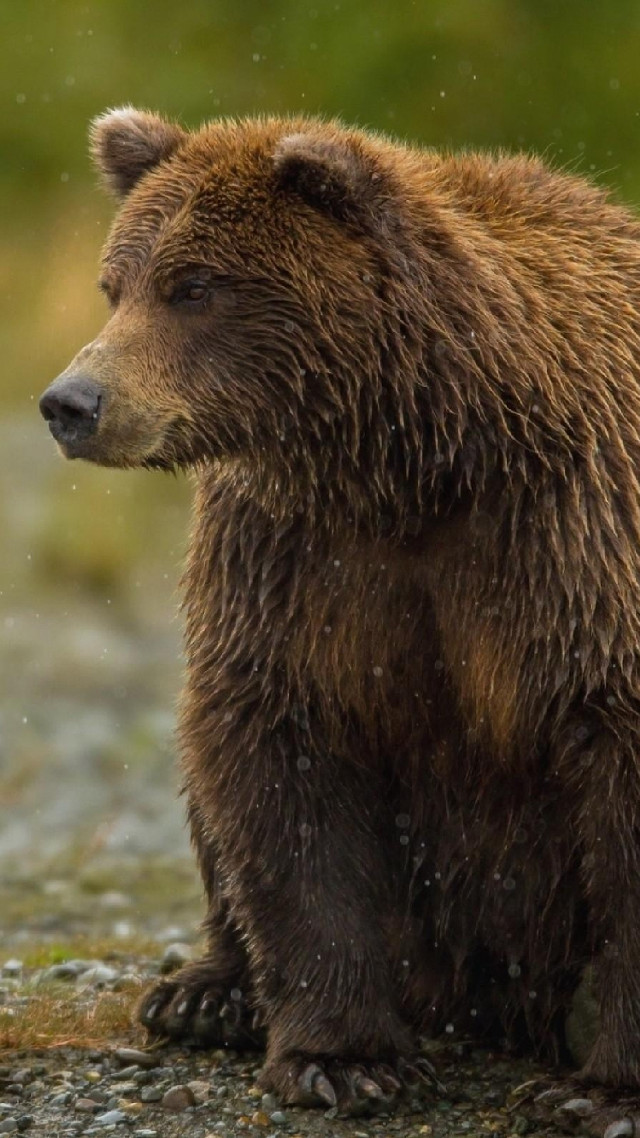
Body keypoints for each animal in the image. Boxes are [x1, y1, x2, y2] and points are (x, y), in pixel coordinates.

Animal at [39, 108, 640, 1119]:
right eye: (113, 285)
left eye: (192, 286)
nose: (71, 403)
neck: (416, 462)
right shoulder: (295, 563)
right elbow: (282, 764)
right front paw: (343, 1057)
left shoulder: (569, 536)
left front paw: (606, 1087)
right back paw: (206, 993)